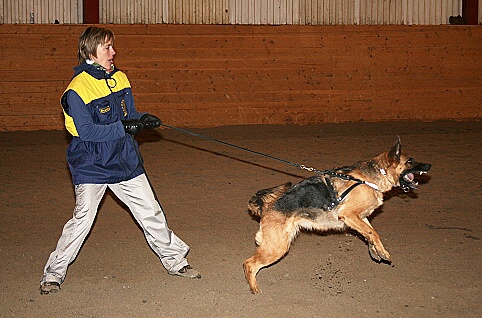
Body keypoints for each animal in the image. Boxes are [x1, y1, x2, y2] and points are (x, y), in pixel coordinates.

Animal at [243, 137, 432, 294]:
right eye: (410, 161)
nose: (429, 166)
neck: (374, 176)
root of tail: (267, 207)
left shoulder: (360, 218)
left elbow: (370, 233)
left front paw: (376, 250)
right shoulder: (348, 215)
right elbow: (373, 233)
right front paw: (382, 252)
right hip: (277, 247)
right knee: (249, 264)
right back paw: (254, 289)